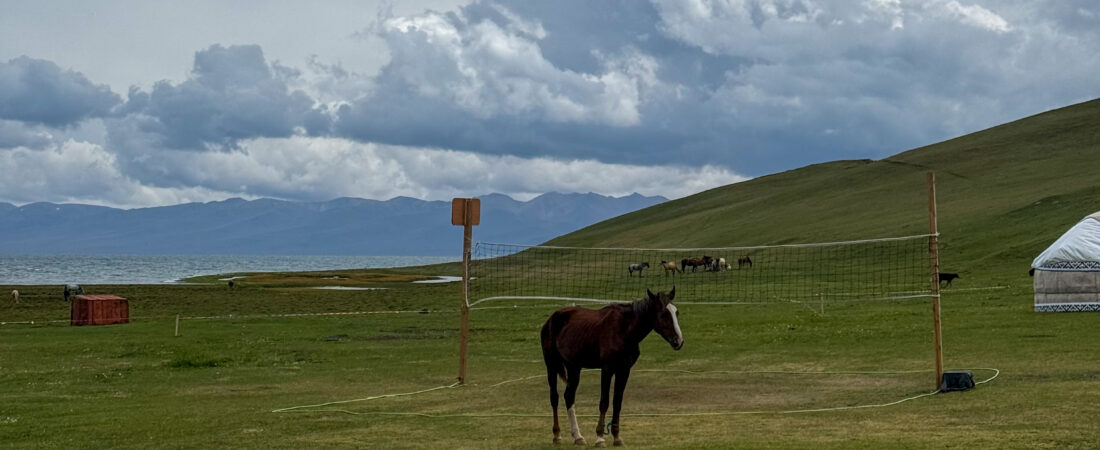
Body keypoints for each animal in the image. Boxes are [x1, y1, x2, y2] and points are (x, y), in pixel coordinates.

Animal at [541, 288, 684, 446]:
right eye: (664, 314)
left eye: (676, 312)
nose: (678, 341)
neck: (623, 331)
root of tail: (551, 319)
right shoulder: (607, 369)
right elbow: (604, 402)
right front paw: (600, 437)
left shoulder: (624, 370)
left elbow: (617, 402)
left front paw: (617, 437)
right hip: (551, 365)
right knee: (554, 398)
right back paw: (557, 435)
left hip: (573, 367)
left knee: (569, 396)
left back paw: (578, 436)